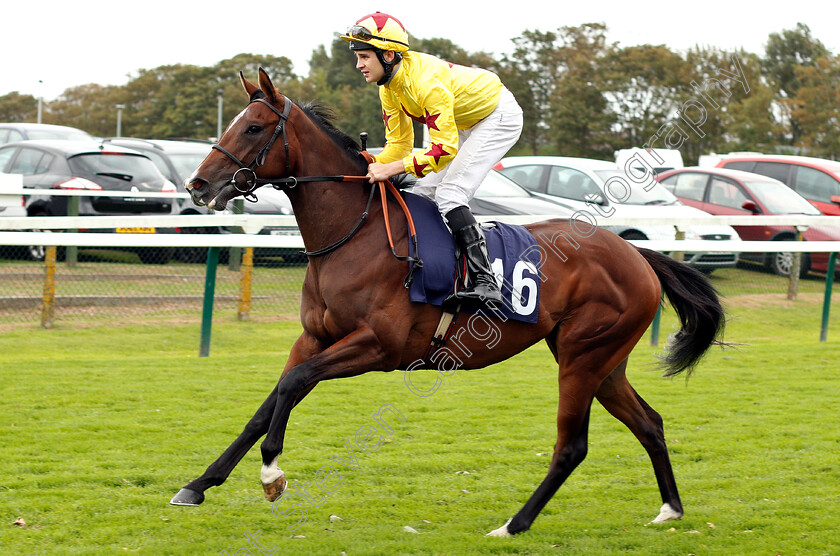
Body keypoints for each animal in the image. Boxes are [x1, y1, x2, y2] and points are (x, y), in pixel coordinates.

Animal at [174, 67, 724, 536]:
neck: (356, 233)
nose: (197, 185)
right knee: (649, 423)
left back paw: (514, 524)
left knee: (572, 446)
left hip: (583, 358)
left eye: (254, 127)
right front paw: (198, 485)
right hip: (603, 362)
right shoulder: (314, 337)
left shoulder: (378, 346)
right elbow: (269, 403)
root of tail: (635, 253)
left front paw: (272, 475)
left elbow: (293, 385)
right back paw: (670, 509)